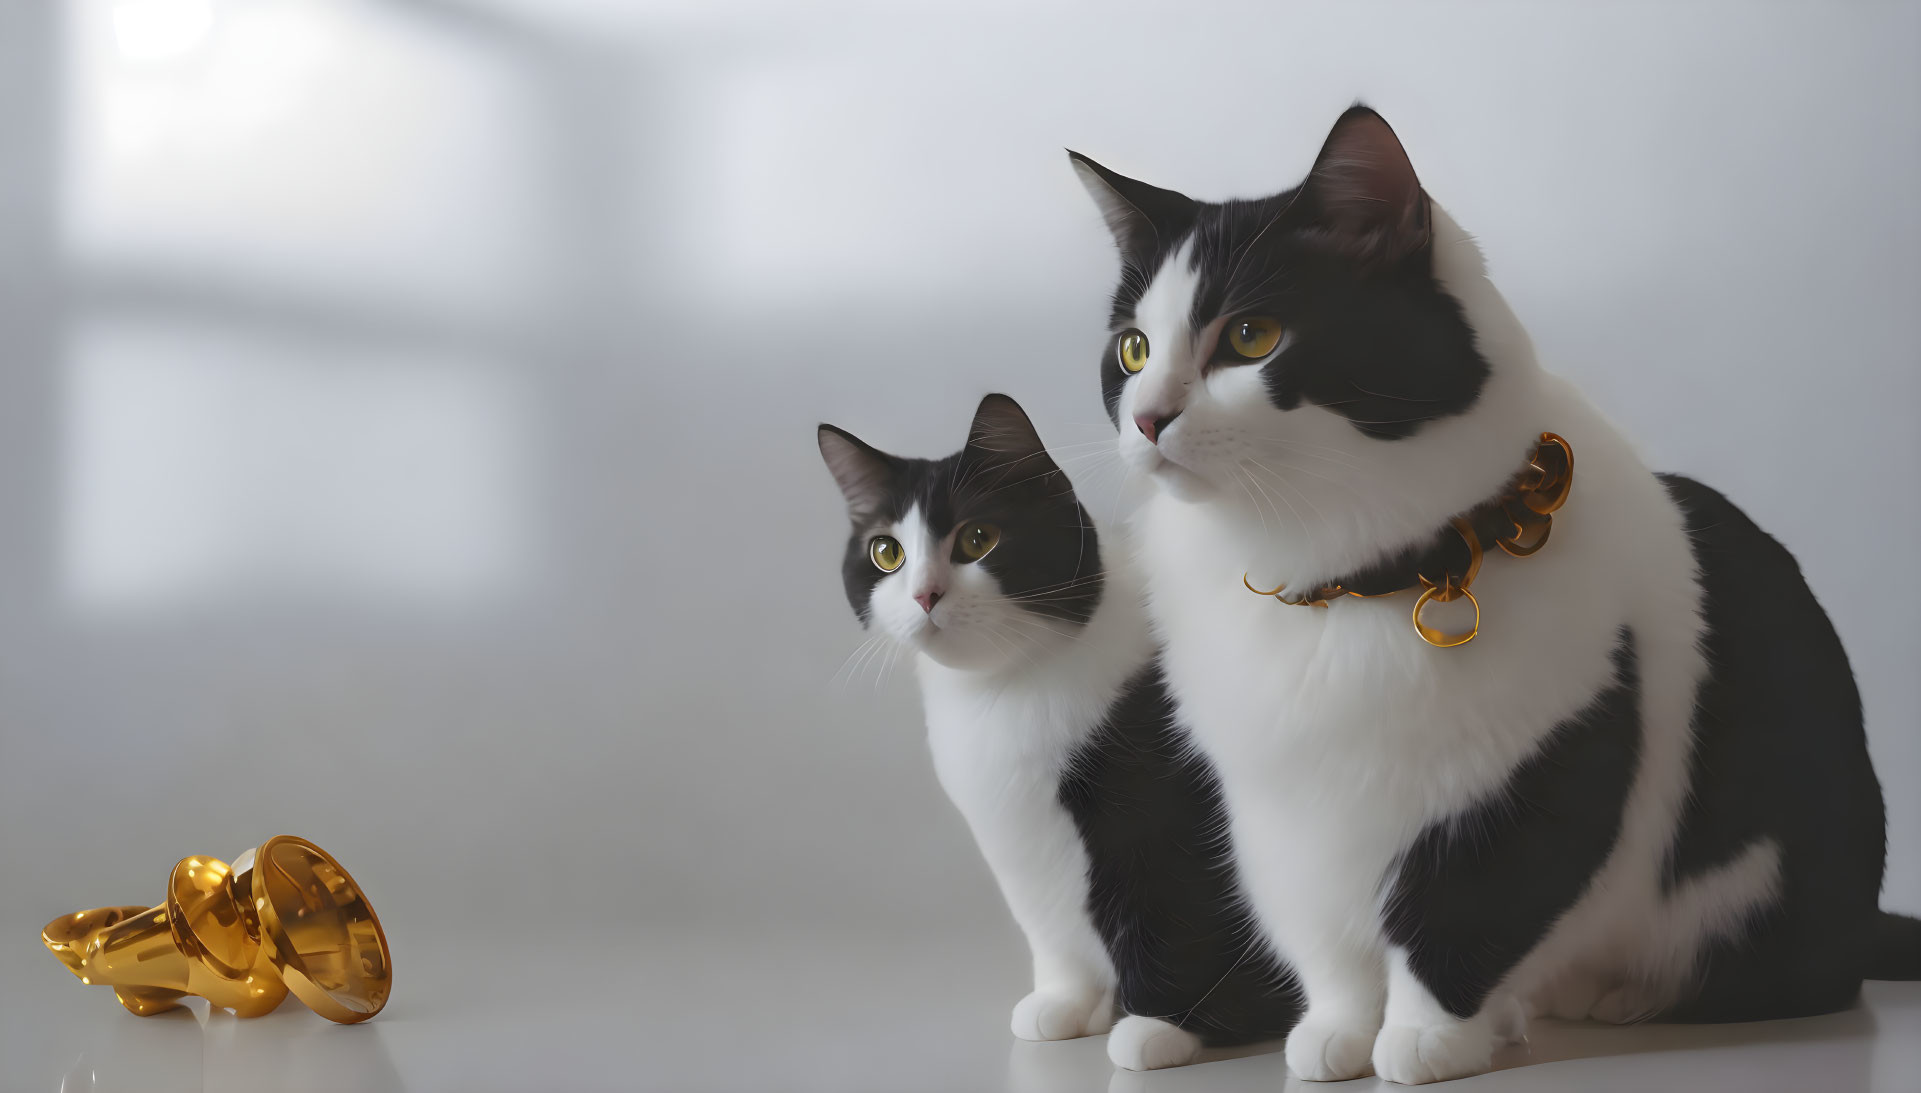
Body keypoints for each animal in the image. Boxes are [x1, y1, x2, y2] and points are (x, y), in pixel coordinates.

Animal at [818, 391, 1298, 1068]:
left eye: (979, 538)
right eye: (886, 552)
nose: (924, 595)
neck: (1006, 690)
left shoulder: (1161, 818)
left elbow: (1178, 909)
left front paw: (1161, 1028)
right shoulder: (1017, 836)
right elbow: (1049, 921)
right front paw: (1065, 1004)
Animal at [1075, 104, 1913, 1083]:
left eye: (1252, 336)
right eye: (1132, 349)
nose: (1146, 419)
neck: (1338, 581)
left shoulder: (1541, 772)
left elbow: (1460, 914)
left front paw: (1424, 1039)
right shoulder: (1279, 814)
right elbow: (1324, 939)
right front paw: (1336, 1029)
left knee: (1780, 973)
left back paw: (1619, 994)